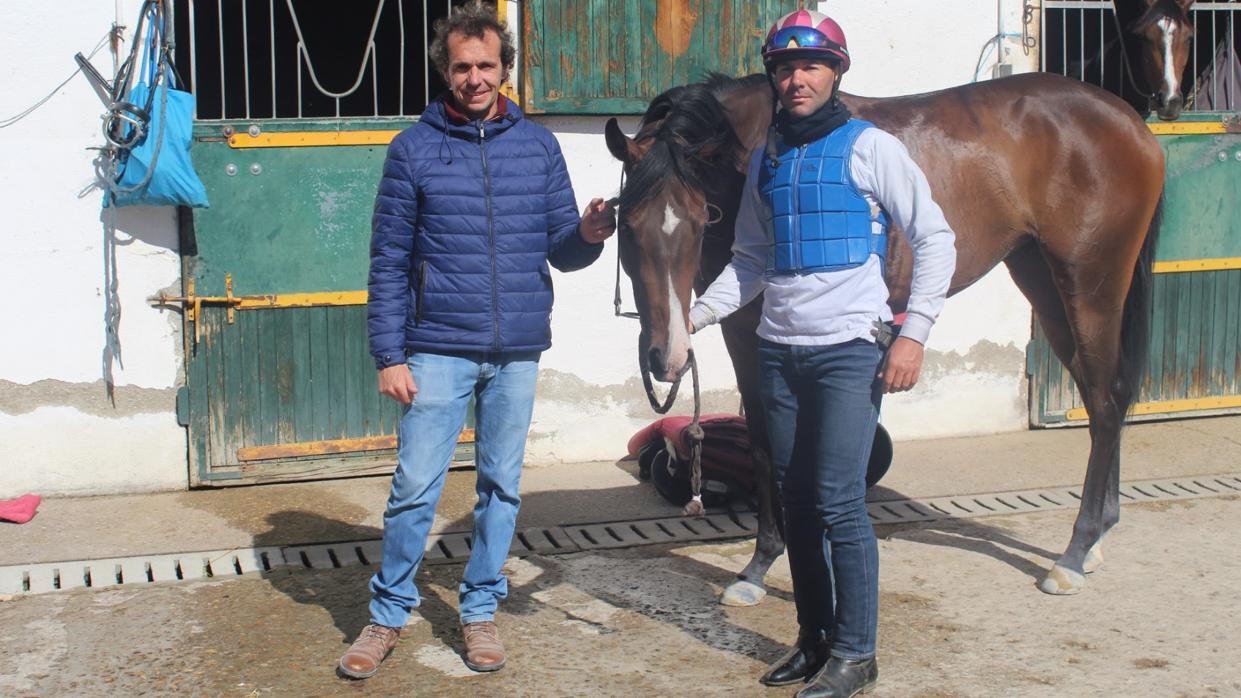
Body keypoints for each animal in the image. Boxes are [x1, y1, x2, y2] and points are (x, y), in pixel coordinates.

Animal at [610, 72, 1171, 603]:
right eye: (629, 226)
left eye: (698, 221)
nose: (667, 357)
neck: (751, 150)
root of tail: (1130, 122)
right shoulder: (745, 332)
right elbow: (765, 444)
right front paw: (760, 565)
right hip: (1041, 279)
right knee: (1103, 403)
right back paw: (1095, 541)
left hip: (1090, 285)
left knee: (1105, 403)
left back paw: (1074, 554)